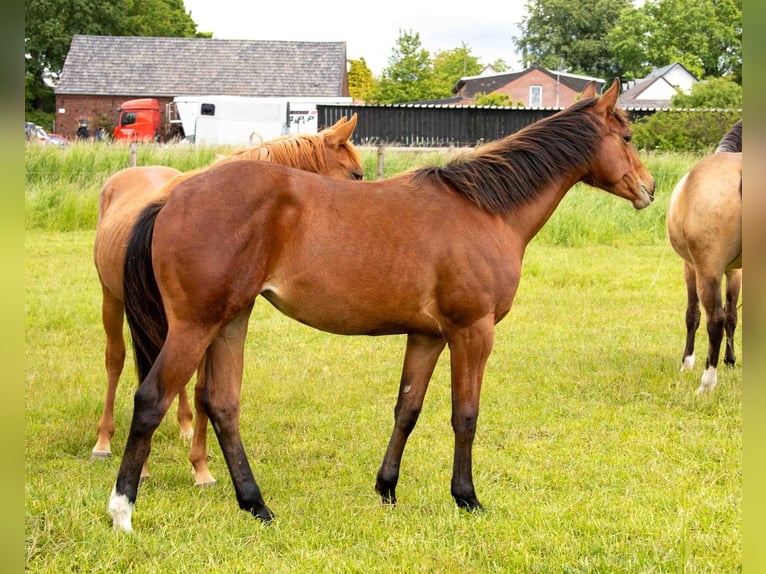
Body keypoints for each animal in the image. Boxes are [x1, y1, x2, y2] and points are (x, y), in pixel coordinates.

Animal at [91, 114, 363, 485]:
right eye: (356, 174)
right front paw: (144, 467)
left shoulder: (209, 324)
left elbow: (202, 389)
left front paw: (200, 466)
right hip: (113, 301)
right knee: (115, 361)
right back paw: (103, 441)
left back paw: (184, 426)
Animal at [666, 120, 742, 393]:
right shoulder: (735, 271)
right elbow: (733, 316)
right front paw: (730, 360)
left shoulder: (691, 267)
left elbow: (693, 315)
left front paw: (687, 362)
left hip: (706, 273)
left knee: (714, 321)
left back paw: (707, 383)